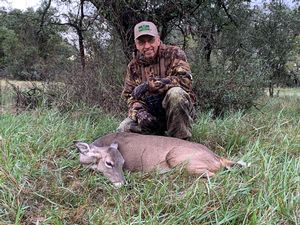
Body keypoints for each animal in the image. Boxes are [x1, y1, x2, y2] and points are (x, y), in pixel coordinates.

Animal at [73, 132, 246, 188]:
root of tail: (218, 157)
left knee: (213, 175)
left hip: (177, 157)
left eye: (123, 163)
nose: (123, 183)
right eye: (109, 163)